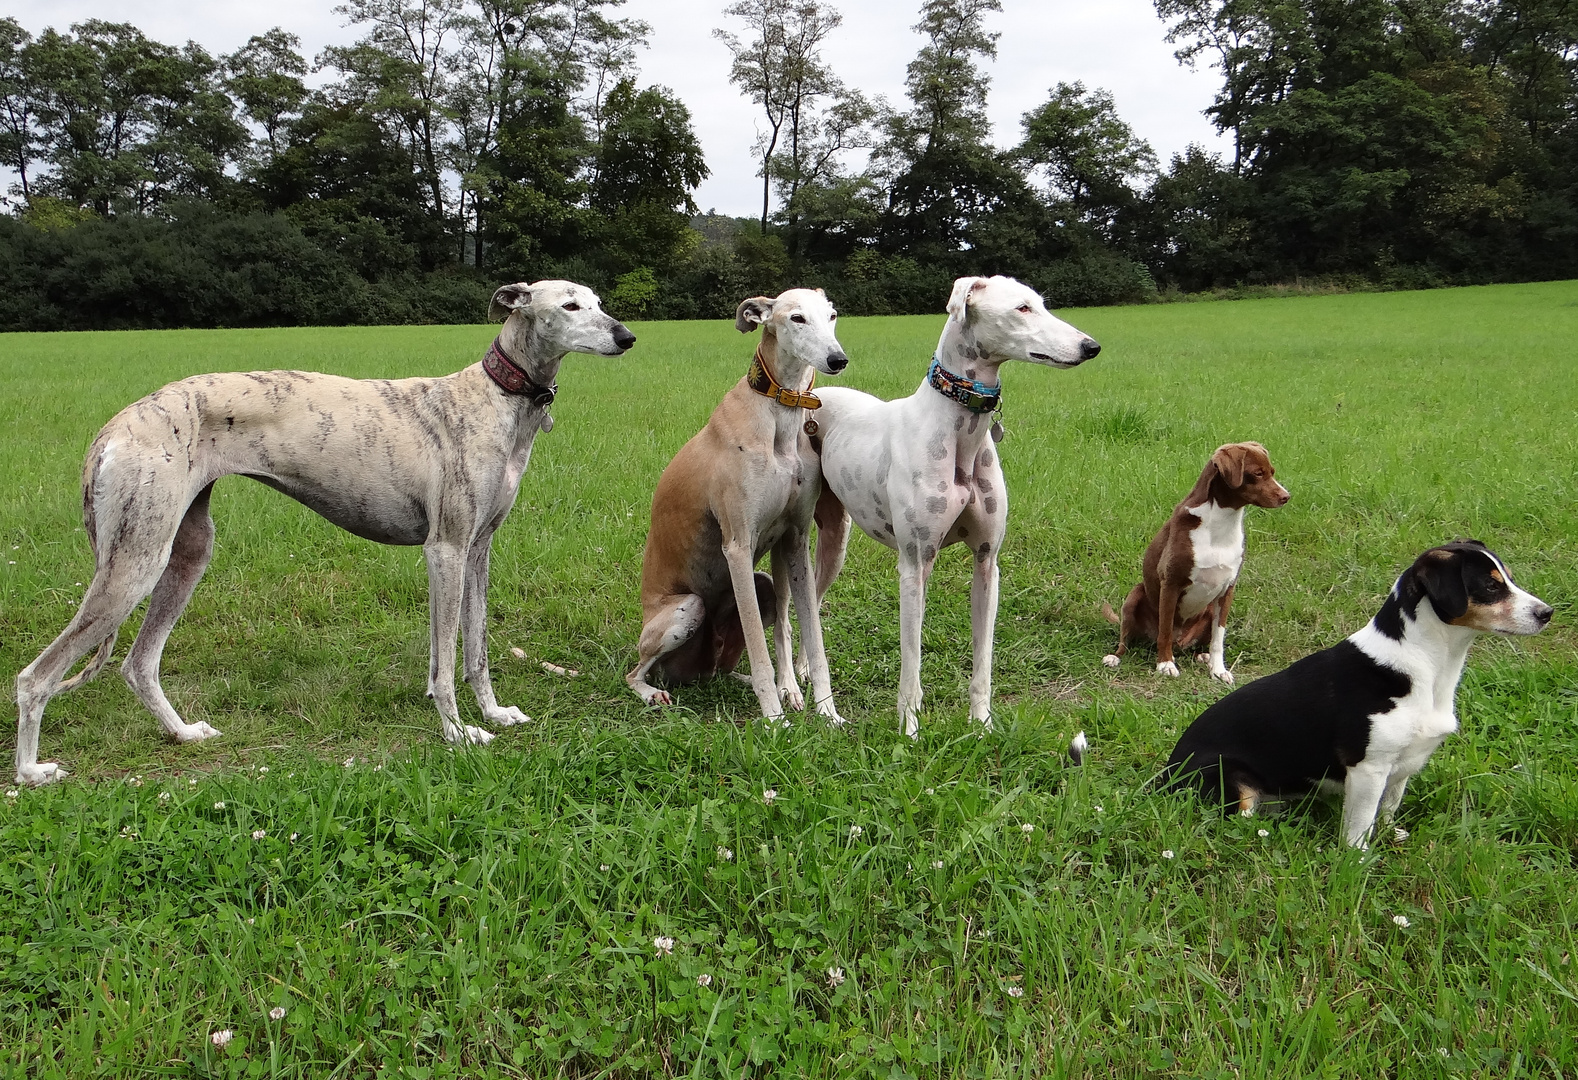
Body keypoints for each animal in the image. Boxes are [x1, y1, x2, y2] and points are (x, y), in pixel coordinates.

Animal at [13, 277, 634, 783]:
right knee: (34, 677)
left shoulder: (478, 551)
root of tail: (115, 426)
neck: (496, 399)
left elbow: (476, 649)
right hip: (136, 561)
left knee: (139, 664)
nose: (627, 337)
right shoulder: (446, 550)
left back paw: (183, 733)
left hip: (186, 551)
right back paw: (31, 771)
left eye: (599, 301)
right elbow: (443, 662)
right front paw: (458, 732)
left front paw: (495, 713)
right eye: (570, 305)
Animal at [628, 290, 852, 720]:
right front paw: (776, 721)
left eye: (833, 315)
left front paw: (827, 713)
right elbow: (761, 653)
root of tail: (699, 671)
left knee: (735, 659)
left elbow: (811, 638)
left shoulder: (796, 538)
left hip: (761, 586)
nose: (838, 360)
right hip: (686, 609)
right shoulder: (737, 546)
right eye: (796, 318)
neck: (780, 413)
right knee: (634, 672)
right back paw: (651, 692)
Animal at [801, 274, 1098, 738]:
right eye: (1022, 308)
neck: (961, 434)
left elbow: (983, 663)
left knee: (812, 600)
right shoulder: (914, 564)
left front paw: (982, 725)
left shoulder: (987, 562)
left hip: (834, 541)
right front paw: (909, 731)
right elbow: (911, 666)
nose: (1090, 346)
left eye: (1041, 303)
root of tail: (813, 392)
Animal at [1104, 442, 1287, 682]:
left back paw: (1202, 656)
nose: (1286, 496)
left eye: (1272, 472)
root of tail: (1180, 643)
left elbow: (1218, 639)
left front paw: (1218, 670)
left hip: (1207, 610)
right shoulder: (1170, 584)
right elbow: (1165, 630)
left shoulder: (1227, 591)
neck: (1221, 523)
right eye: (1258, 473)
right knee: (1127, 639)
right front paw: (1165, 664)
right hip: (1134, 596)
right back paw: (1116, 657)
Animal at [1174, 540, 1552, 846]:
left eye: (1509, 578)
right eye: (1490, 585)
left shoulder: (1400, 768)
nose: (1547, 613)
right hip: (1232, 780)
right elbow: (1360, 825)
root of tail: (1164, 775)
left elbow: (1387, 808)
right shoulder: (1368, 769)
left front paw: (1389, 835)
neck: (1425, 665)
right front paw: (1358, 861)